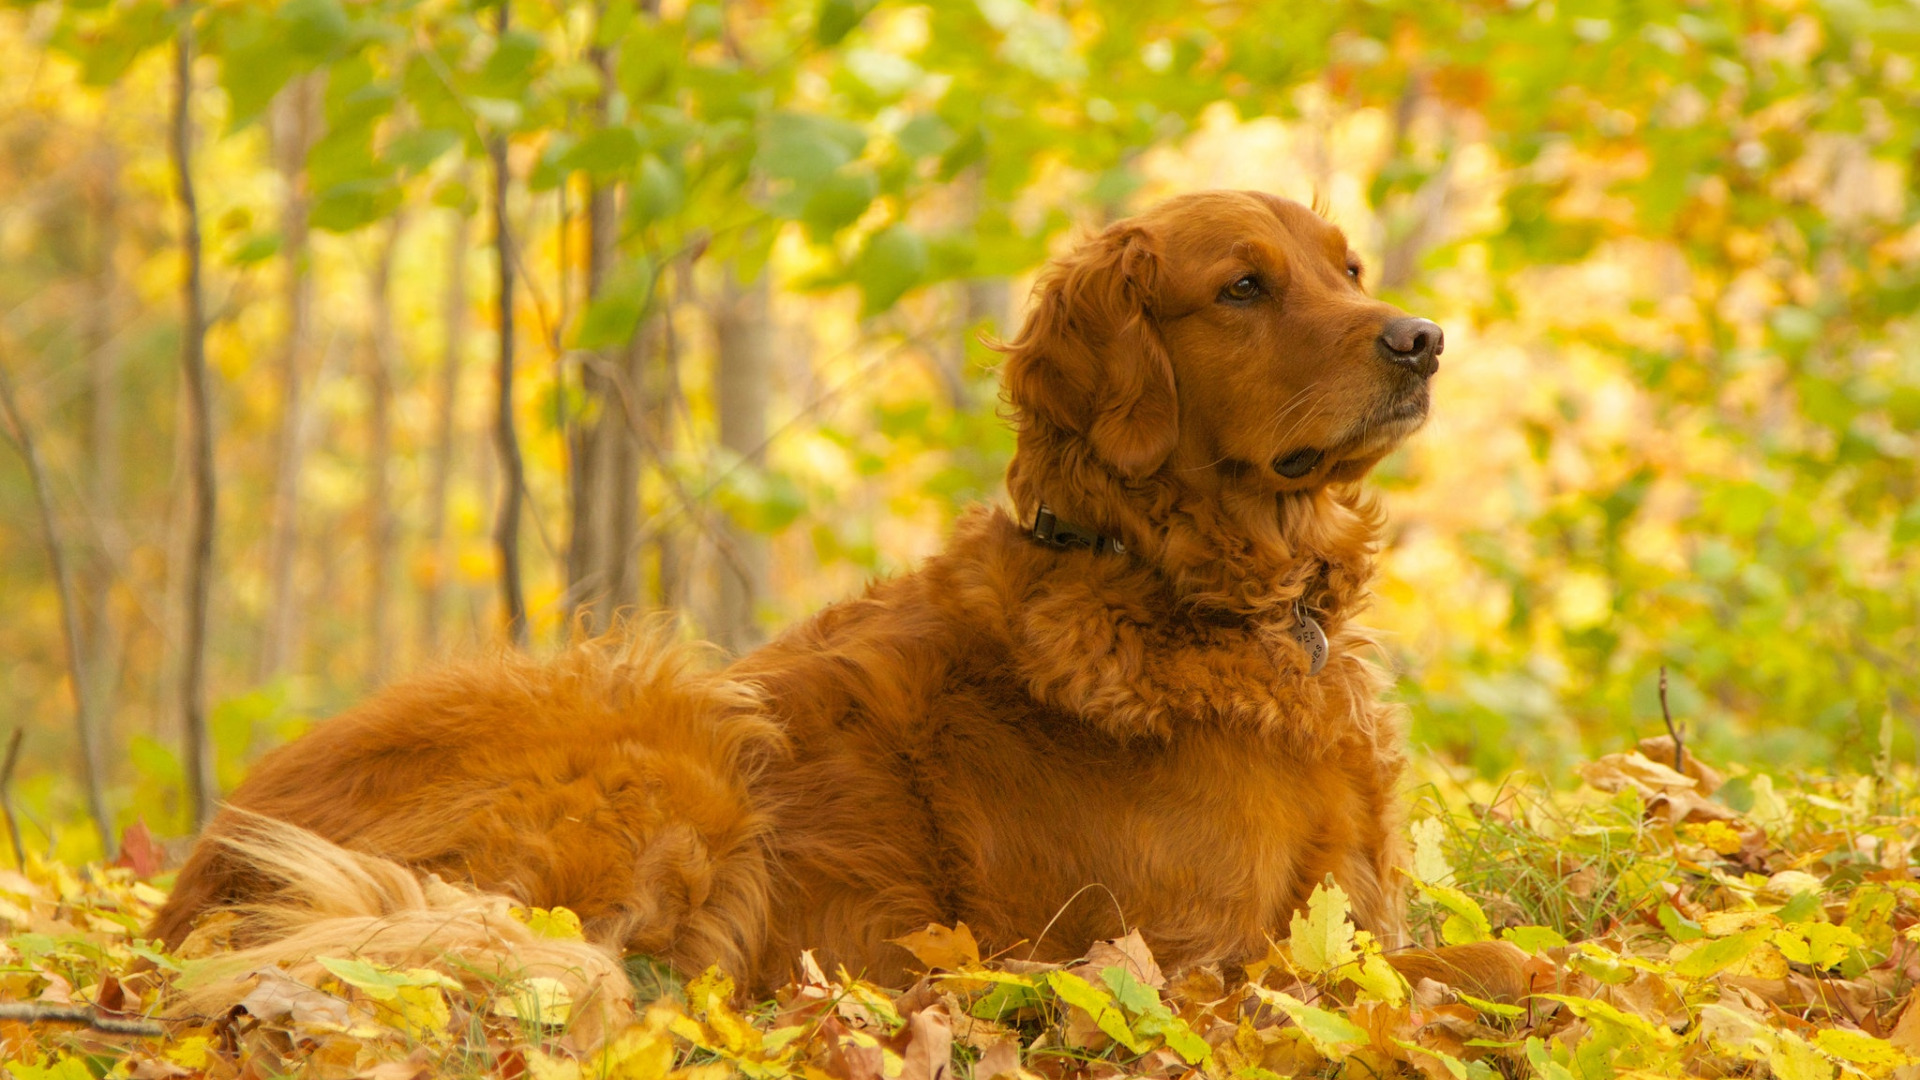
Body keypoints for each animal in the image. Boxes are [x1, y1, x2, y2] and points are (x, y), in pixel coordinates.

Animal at [153, 189, 1497, 999]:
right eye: (1241, 288)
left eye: (1347, 267)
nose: (1424, 339)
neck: (1190, 587)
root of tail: (204, 875)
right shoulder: (1185, 954)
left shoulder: (1366, 914)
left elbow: (1478, 959)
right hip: (678, 726)